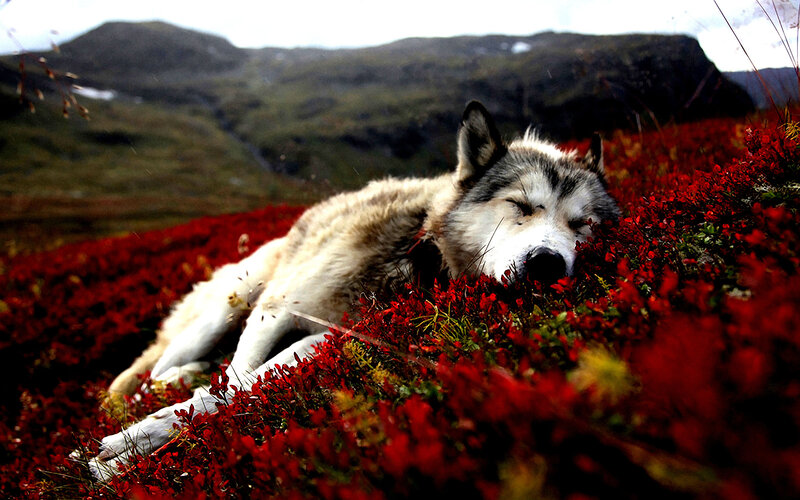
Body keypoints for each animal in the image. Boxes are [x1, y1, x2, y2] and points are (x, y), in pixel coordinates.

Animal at [80, 101, 619, 480]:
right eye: (520, 206)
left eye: (582, 225)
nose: (547, 264)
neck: (417, 253)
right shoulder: (275, 311)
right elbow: (231, 383)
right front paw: (129, 446)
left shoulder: (332, 337)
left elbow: (239, 389)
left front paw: (130, 451)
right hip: (230, 305)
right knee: (149, 374)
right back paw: (159, 386)